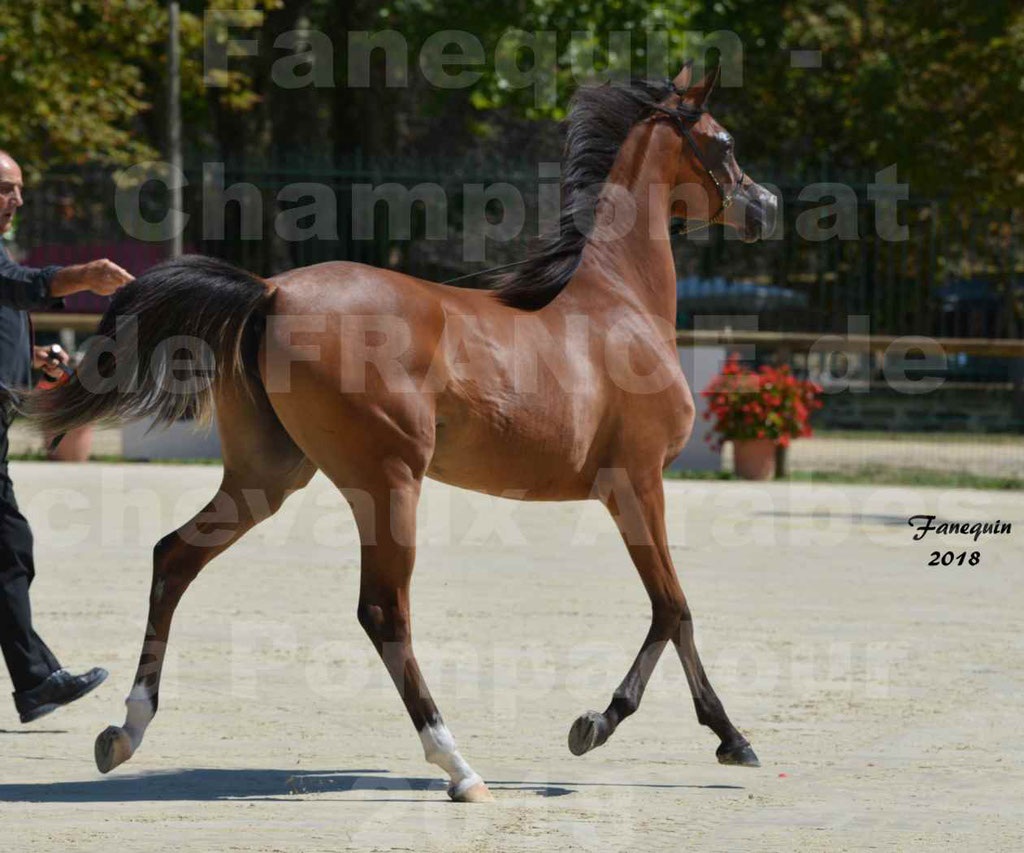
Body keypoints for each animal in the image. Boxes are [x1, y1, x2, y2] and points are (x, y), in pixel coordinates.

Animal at [25, 63, 774, 802]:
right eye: (724, 142)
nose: (764, 206)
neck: (618, 304)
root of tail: (271, 291)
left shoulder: (631, 489)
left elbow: (671, 609)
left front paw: (694, 733)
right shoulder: (637, 483)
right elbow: (673, 607)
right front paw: (652, 728)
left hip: (268, 477)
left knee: (174, 558)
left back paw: (124, 732)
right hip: (388, 480)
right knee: (384, 611)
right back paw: (459, 767)